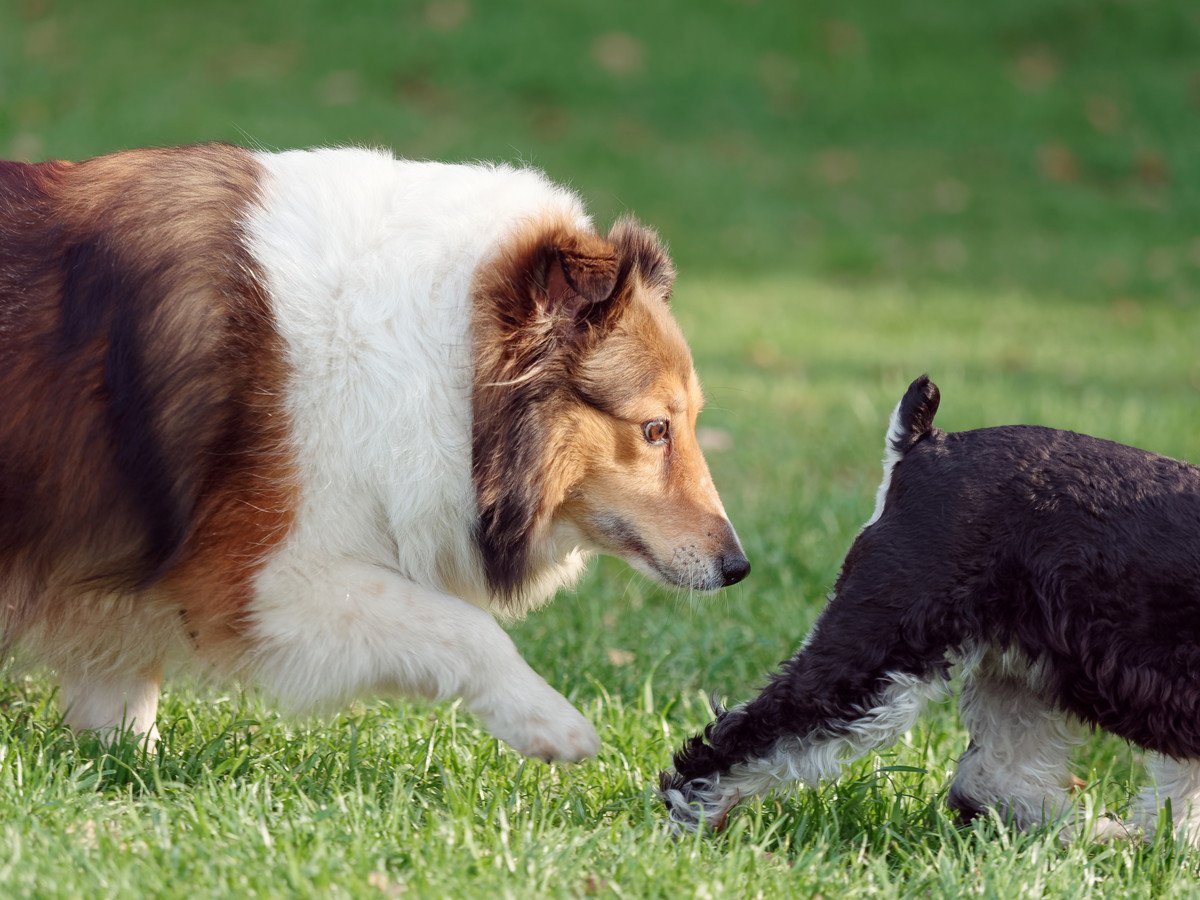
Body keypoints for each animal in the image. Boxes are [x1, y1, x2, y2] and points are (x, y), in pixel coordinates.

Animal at [0, 142, 744, 763]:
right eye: (655, 429)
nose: (736, 566)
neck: (443, 359)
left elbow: (119, 696)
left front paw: (129, 771)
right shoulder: (260, 582)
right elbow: (466, 628)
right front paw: (553, 724)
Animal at [662, 376, 1200, 844]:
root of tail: (923, 444)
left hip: (1021, 671)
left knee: (989, 780)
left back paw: (1097, 837)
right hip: (878, 656)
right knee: (739, 740)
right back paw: (690, 826)